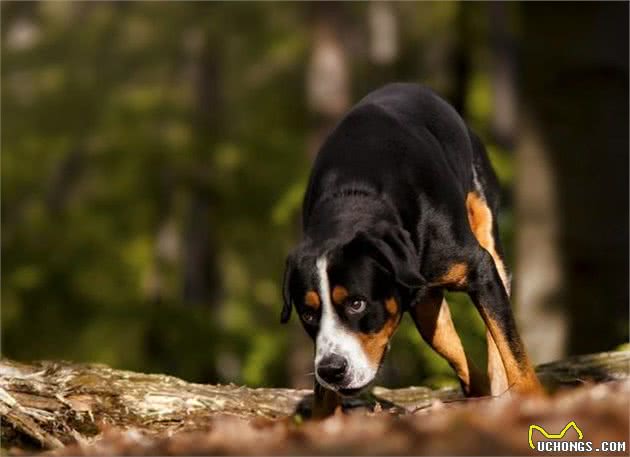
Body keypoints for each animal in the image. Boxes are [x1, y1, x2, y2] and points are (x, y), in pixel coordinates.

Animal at [282, 83, 544, 416]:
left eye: (356, 303)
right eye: (308, 314)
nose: (331, 369)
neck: (355, 193)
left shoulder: (479, 268)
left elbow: (512, 348)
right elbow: (323, 395)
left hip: (486, 226)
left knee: (496, 332)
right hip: (426, 306)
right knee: (459, 355)